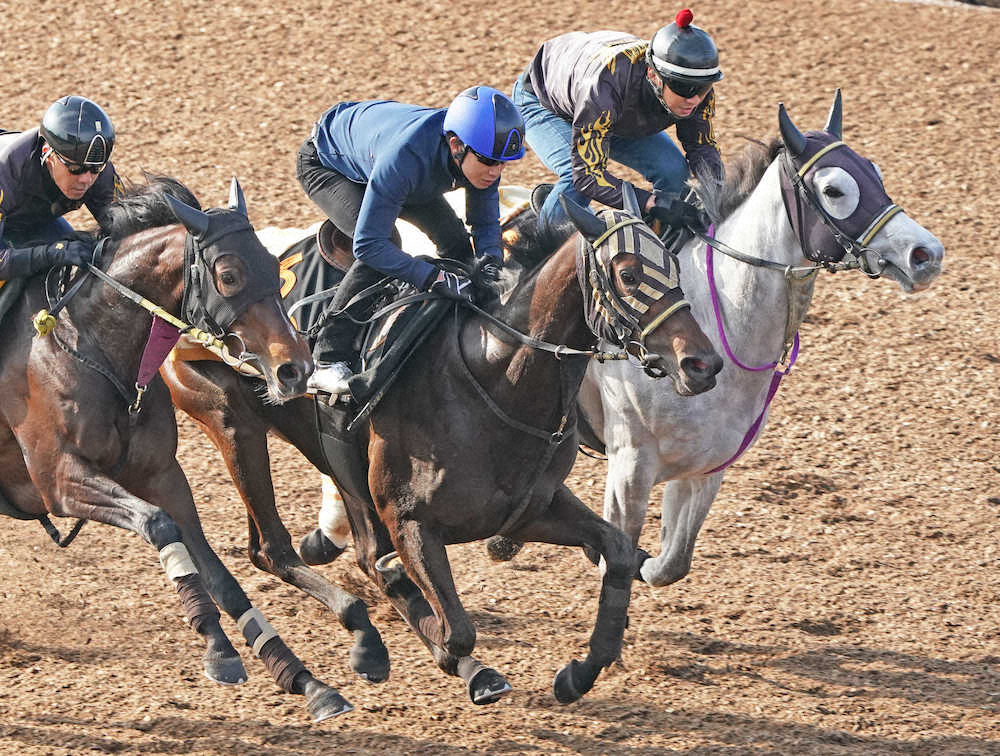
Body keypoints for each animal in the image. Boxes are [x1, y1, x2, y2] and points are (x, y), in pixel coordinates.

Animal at [0, 176, 358, 720]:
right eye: (228, 275)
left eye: (273, 265)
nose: (295, 367)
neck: (88, 346)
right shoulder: (60, 480)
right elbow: (158, 525)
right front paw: (219, 649)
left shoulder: (162, 476)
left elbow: (220, 576)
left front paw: (304, 679)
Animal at [164, 186, 724, 704]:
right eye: (628, 274)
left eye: (675, 264)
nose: (702, 363)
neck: (496, 377)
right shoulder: (410, 520)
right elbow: (453, 628)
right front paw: (439, 646)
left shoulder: (527, 511)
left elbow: (619, 553)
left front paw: (576, 675)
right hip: (231, 422)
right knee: (275, 549)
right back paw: (366, 640)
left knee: (325, 547)